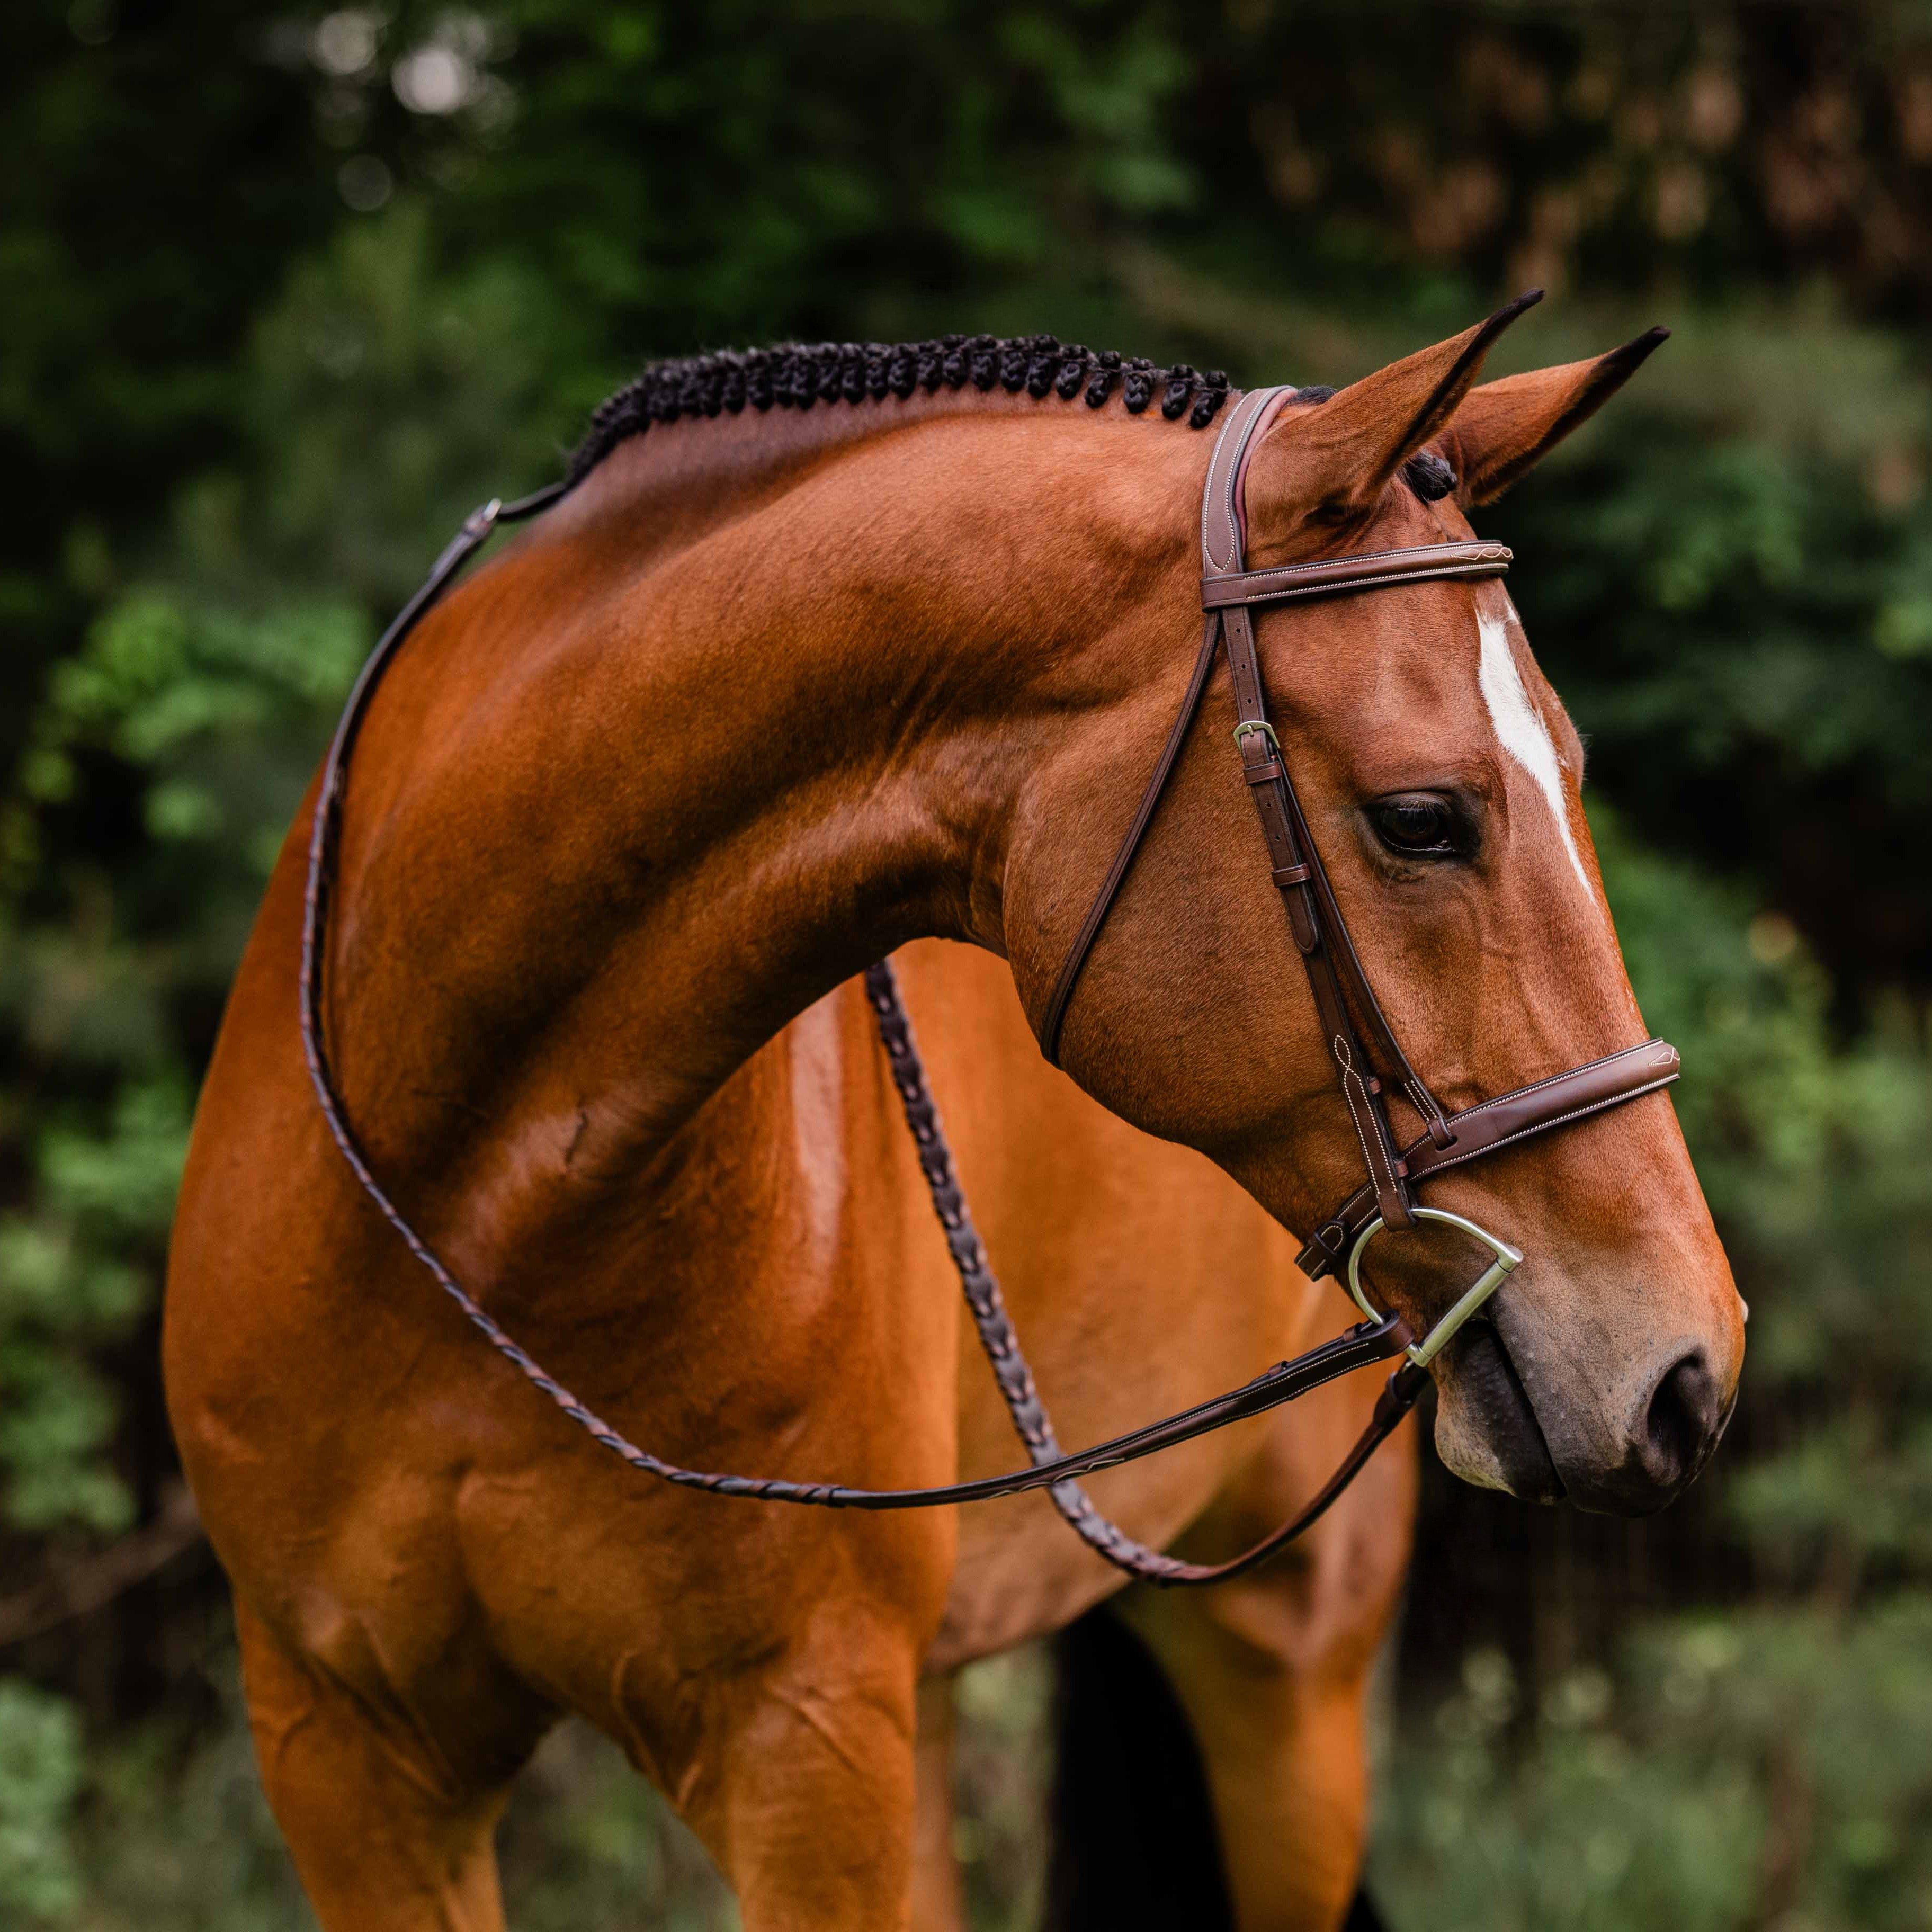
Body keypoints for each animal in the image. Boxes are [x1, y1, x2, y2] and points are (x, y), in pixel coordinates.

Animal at [163, 306, 1745, 1930]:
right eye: (1421, 819)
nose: (1689, 1372)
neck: (477, 1195)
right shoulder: (350, 1758)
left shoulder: (802, 1743)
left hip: (1284, 1676)